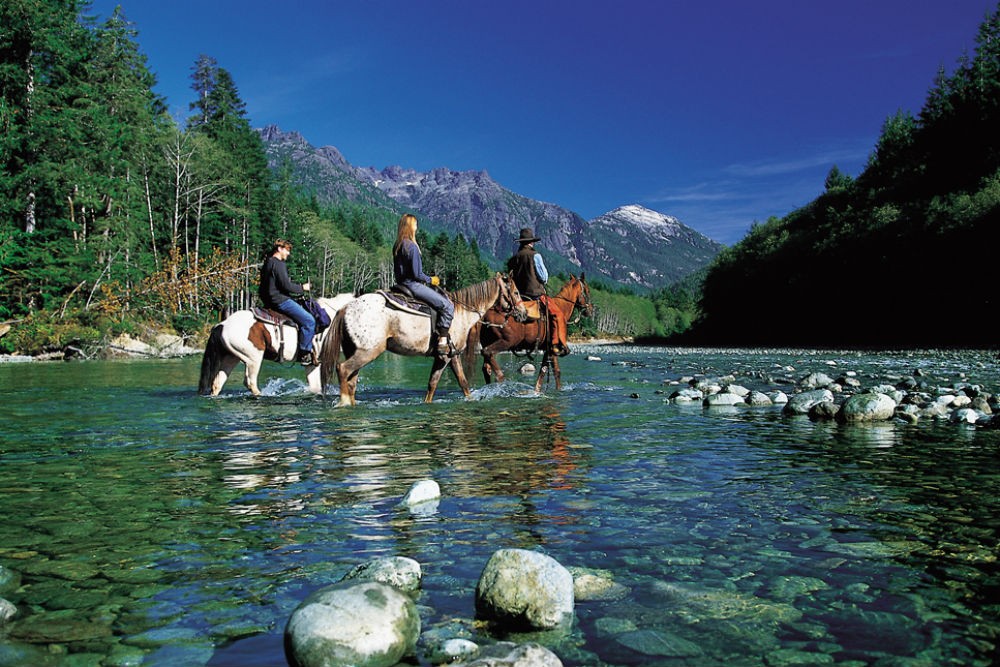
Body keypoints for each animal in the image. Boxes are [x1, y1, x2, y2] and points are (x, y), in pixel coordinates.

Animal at [197, 296, 354, 400]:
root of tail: (223, 324)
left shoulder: (311, 363)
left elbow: (315, 387)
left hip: (231, 358)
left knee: (217, 383)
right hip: (253, 358)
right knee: (250, 382)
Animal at [320, 272, 528, 408]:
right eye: (516, 292)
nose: (524, 313)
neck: (462, 312)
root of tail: (346, 307)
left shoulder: (450, 356)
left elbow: (449, 384)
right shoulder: (446, 357)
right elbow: (447, 382)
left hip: (355, 351)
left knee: (351, 380)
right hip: (368, 351)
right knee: (343, 369)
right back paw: (343, 403)